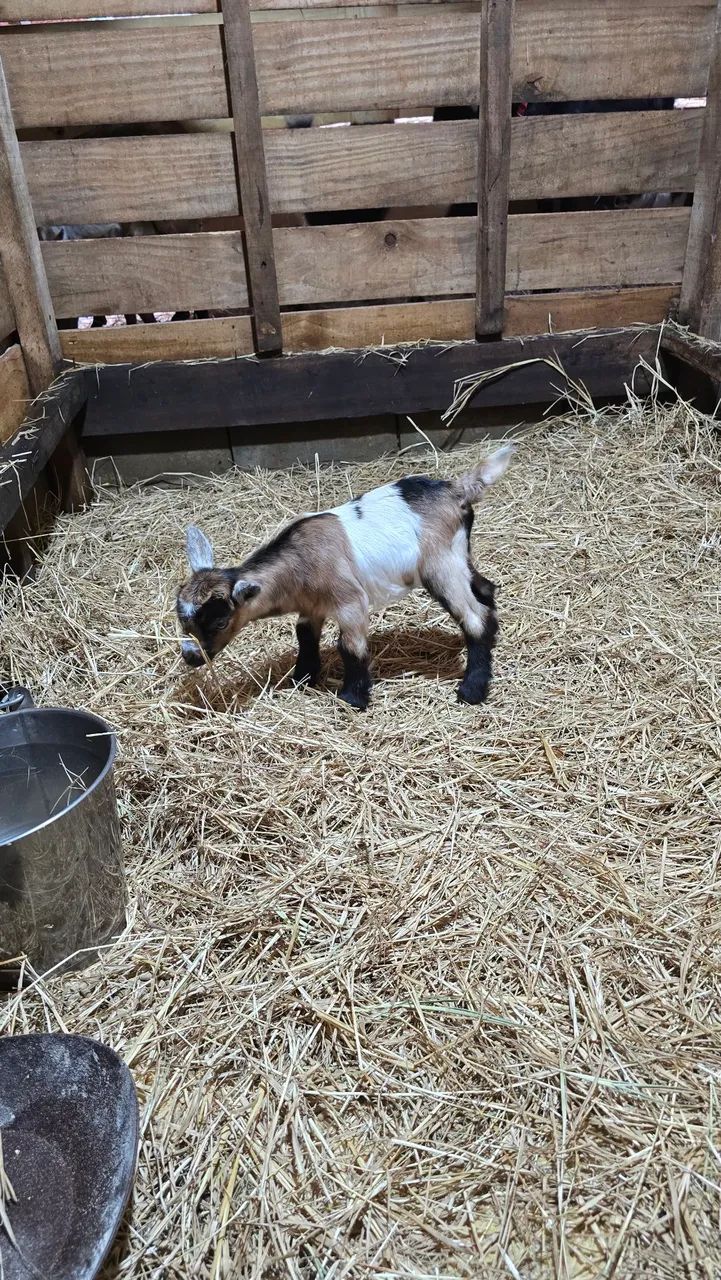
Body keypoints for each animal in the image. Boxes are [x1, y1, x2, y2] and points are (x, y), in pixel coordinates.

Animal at [176, 445, 513, 709]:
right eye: (184, 622)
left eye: (220, 622)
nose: (191, 657)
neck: (299, 562)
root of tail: (457, 489)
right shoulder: (311, 606)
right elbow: (304, 635)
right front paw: (302, 678)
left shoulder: (350, 601)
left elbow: (351, 646)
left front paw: (352, 698)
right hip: (458, 556)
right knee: (485, 588)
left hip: (440, 565)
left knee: (474, 617)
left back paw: (472, 690)